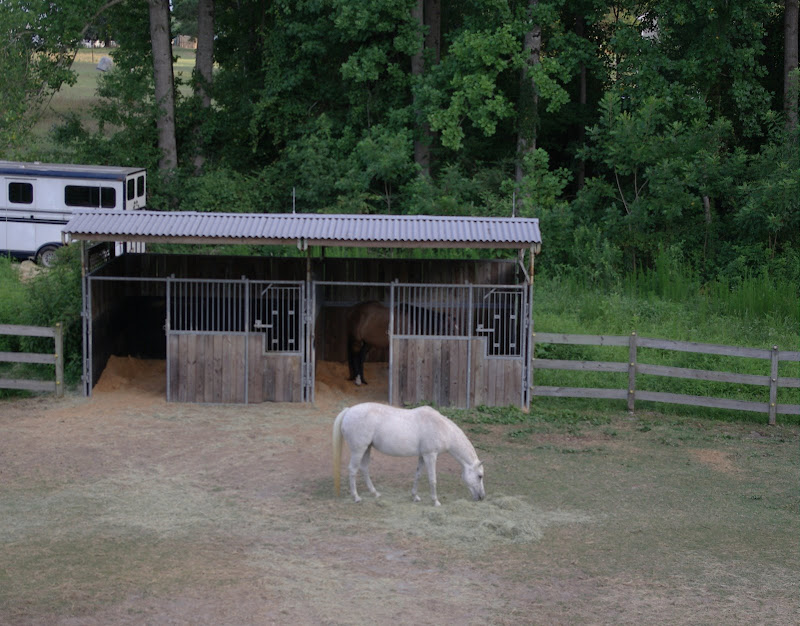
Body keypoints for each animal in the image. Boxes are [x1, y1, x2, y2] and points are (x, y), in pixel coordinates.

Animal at [332, 402, 488, 504]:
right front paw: (435, 501)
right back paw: (356, 497)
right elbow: (432, 478)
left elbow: (418, 475)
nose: (482, 497)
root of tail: (349, 411)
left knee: (364, 469)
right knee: (353, 470)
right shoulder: (431, 455)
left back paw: (375, 493)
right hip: (359, 449)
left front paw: (415, 496)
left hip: (367, 448)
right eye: (480, 476)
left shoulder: (423, 456)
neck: (442, 428)